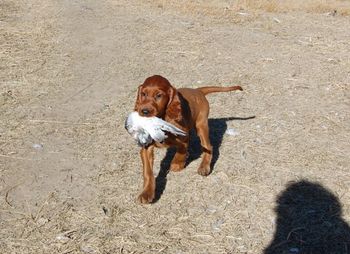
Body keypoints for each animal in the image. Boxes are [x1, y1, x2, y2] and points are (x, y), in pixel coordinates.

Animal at [133, 74, 242, 203]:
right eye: (143, 94)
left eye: (159, 95)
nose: (144, 111)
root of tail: (197, 90)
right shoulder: (146, 147)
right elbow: (148, 172)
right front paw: (146, 193)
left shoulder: (184, 136)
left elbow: (181, 150)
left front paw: (177, 164)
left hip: (201, 124)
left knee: (208, 146)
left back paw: (204, 167)